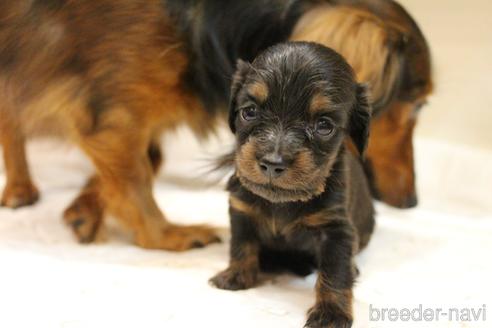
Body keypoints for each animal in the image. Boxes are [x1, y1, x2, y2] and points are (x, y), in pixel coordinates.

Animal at [0, 0, 430, 250]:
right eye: (418, 106)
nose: (413, 203)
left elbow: (143, 164)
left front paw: (86, 207)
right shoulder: (110, 118)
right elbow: (134, 185)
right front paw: (166, 235)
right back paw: (20, 187)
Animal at [209, 42, 374, 328]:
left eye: (324, 125)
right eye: (249, 111)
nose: (272, 164)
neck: (283, 202)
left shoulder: (336, 230)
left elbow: (335, 272)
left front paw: (331, 313)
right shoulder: (241, 210)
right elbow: (241, 244)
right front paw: (237, 275)